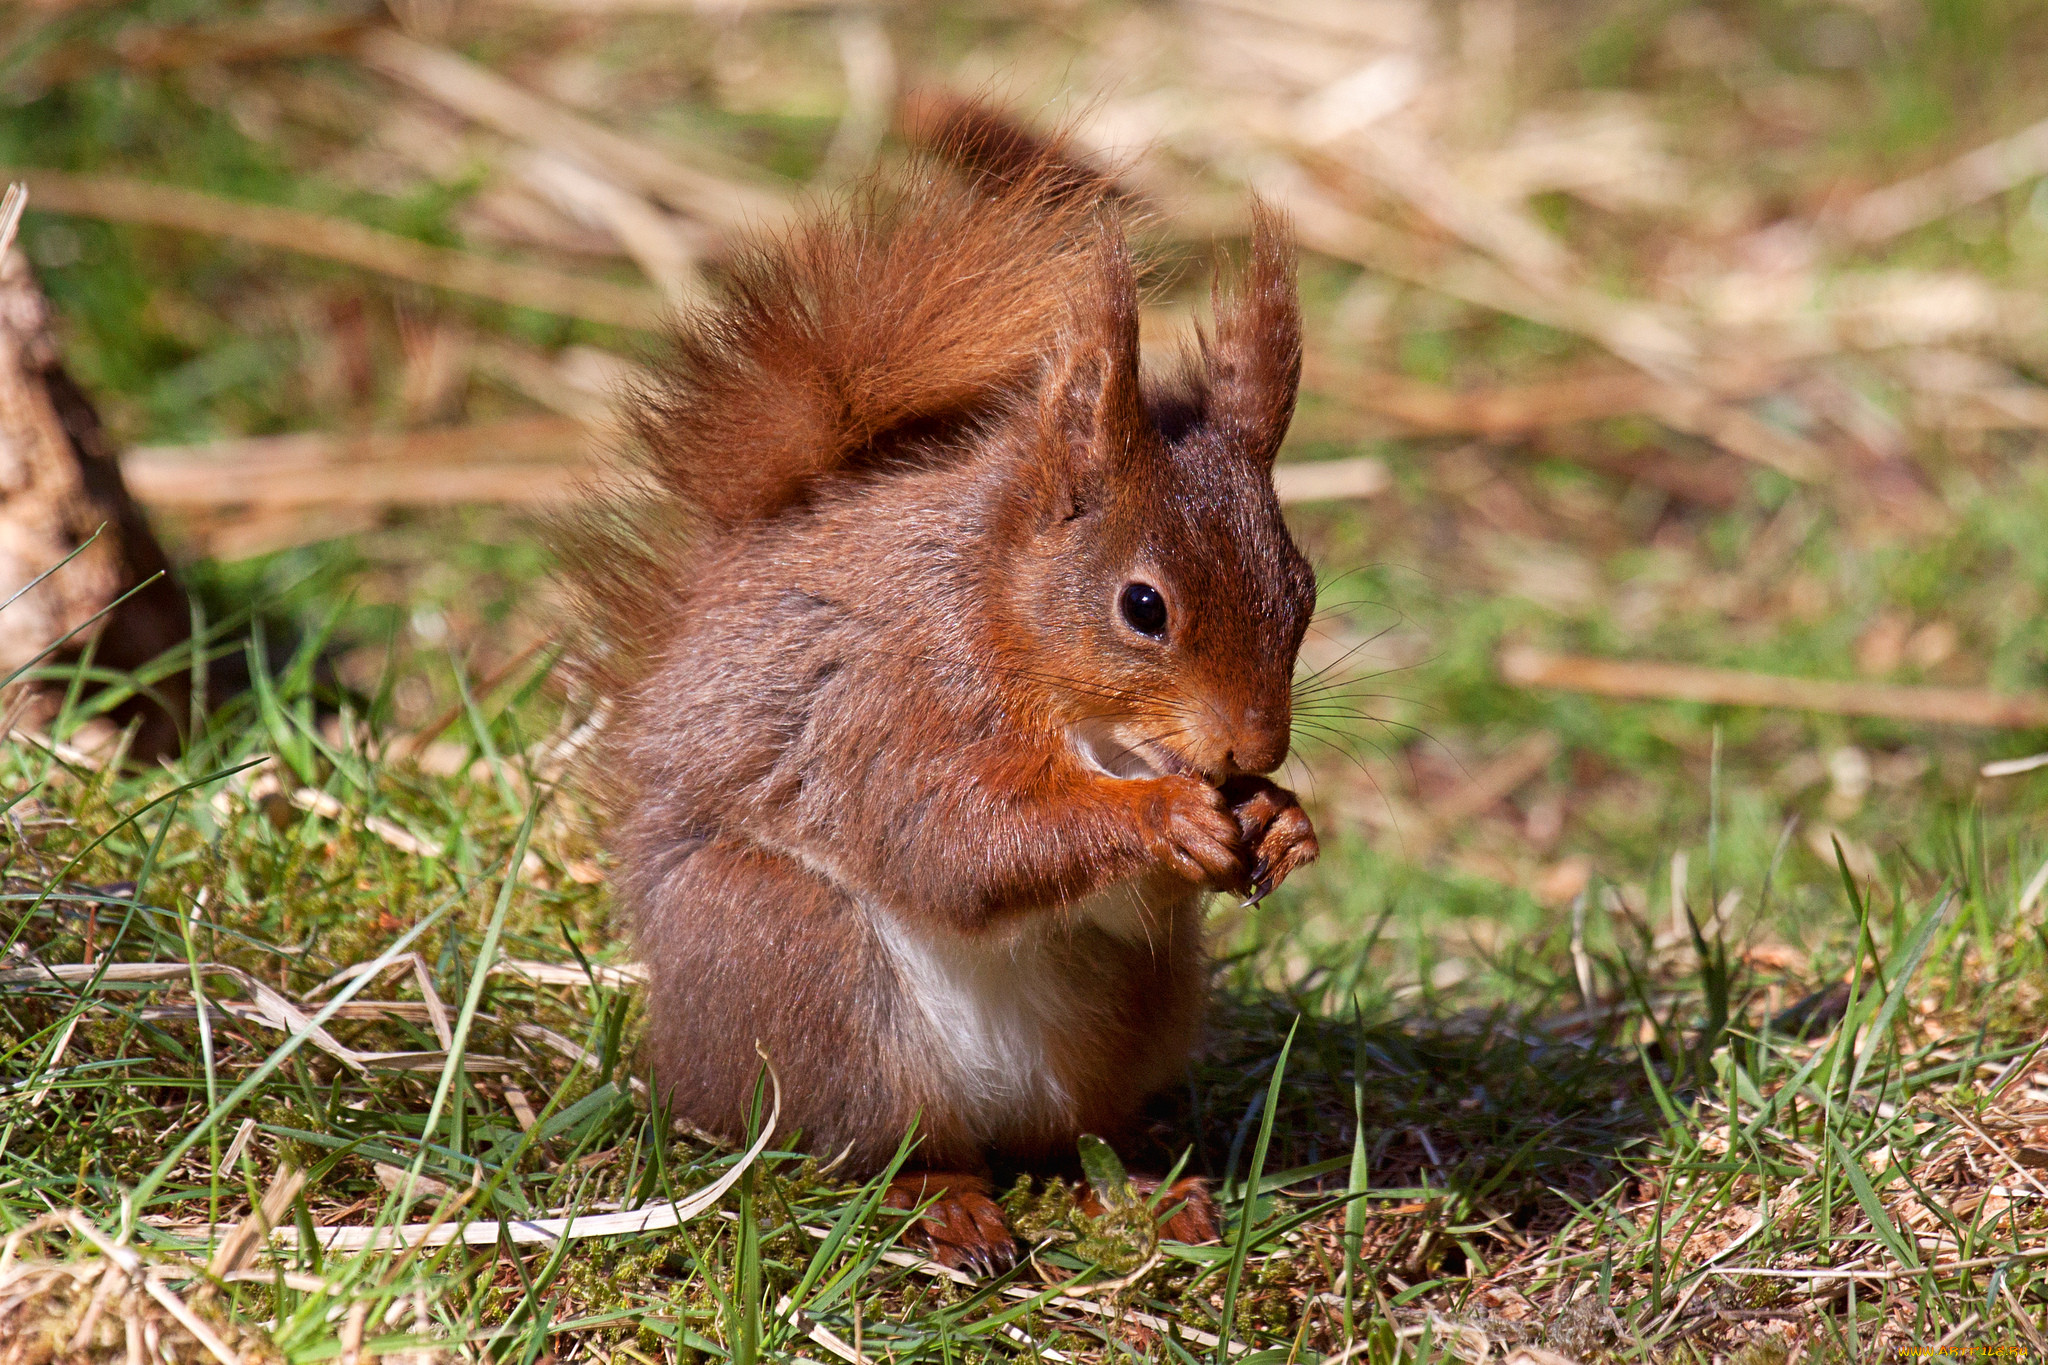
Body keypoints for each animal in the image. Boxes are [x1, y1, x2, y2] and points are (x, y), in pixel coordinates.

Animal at [565, 96, 1327, 1268]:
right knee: (878, 1144)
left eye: (1304, 590)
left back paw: (1149, 1189)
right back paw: (946, 1204)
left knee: (1077, 1135)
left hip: (1129, 1010)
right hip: (802, 969)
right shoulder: (892, 702)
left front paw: (1282, 822)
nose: (1257, 748)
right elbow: (954, 838)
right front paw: (1161, 815)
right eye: (1142, 606)